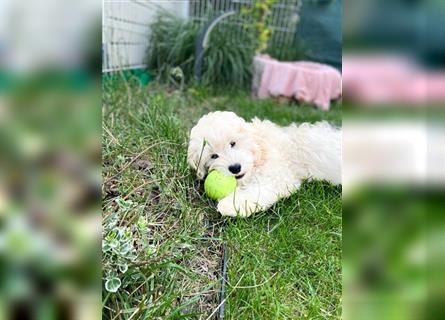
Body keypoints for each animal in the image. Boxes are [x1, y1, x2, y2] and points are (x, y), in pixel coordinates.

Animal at [187, 110, 340, 218]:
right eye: (213, 156)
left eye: (233, 143)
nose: (235, 168)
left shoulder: (277, 177)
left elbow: (257, 190)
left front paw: (231, 205)